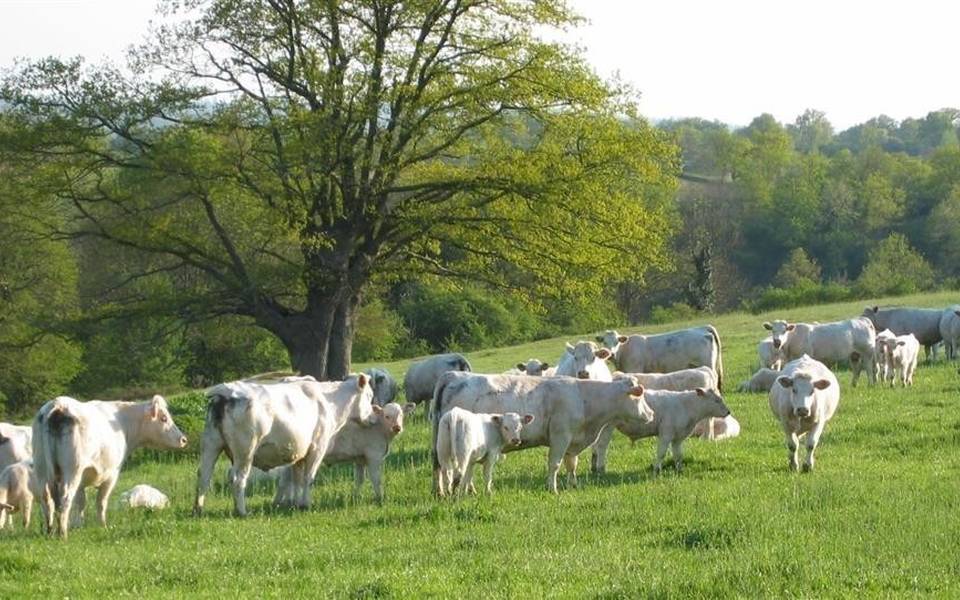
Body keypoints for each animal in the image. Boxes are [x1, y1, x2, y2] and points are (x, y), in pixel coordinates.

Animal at [34, 394, 188, 540]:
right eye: (164, 418)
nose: (183, 439)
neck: (121, 422)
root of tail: (58, 404)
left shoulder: (82, 481)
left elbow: (81, 502)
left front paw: (78, 526)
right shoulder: (111, 474)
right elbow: (101, 502)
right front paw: (103, 526)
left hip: (42, 469)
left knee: (47, 500)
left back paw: (50, 532)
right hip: (72, 471)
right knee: (65, 499)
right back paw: (63, 534)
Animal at [193, 372, 374, 516]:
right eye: (370, 396)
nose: (373, 417)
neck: (329, 401)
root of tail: (227, 391)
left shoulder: (299, 454)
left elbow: (297, 479)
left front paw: (296, 503)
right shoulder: (317, 448)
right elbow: (308, 478)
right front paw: (306, 504)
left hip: (211, 445)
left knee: (204, 475)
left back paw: (198, 509)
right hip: (245, 452)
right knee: (237, 479)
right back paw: (242, 512)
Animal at [434, 372, 652, 494]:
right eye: (639, 396)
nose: (651, 414)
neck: (584, 397)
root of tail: (453, 375)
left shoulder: (572, 441)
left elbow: (571, 464)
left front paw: (573, 485)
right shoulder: (560, 436)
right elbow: (554, 464)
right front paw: (552, 488)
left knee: (440, 467)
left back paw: (442, 492)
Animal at [588, 386, 732, 476]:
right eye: (717, 400)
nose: (728, 411)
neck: (686, 406)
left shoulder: (678, 438)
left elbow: (678, 455)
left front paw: (679, 470)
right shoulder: (666, 433)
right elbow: (661, 453)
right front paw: (657, 469)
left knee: (595, 446)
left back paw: (594, 468)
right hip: (608, 427)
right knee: (601, 446)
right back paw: (601, 469)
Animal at [596, 326, 724, 392]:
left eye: (616, 342)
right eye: (604, 342)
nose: (611, 354)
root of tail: (702, 328)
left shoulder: (634, 369)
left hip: (708, 364)